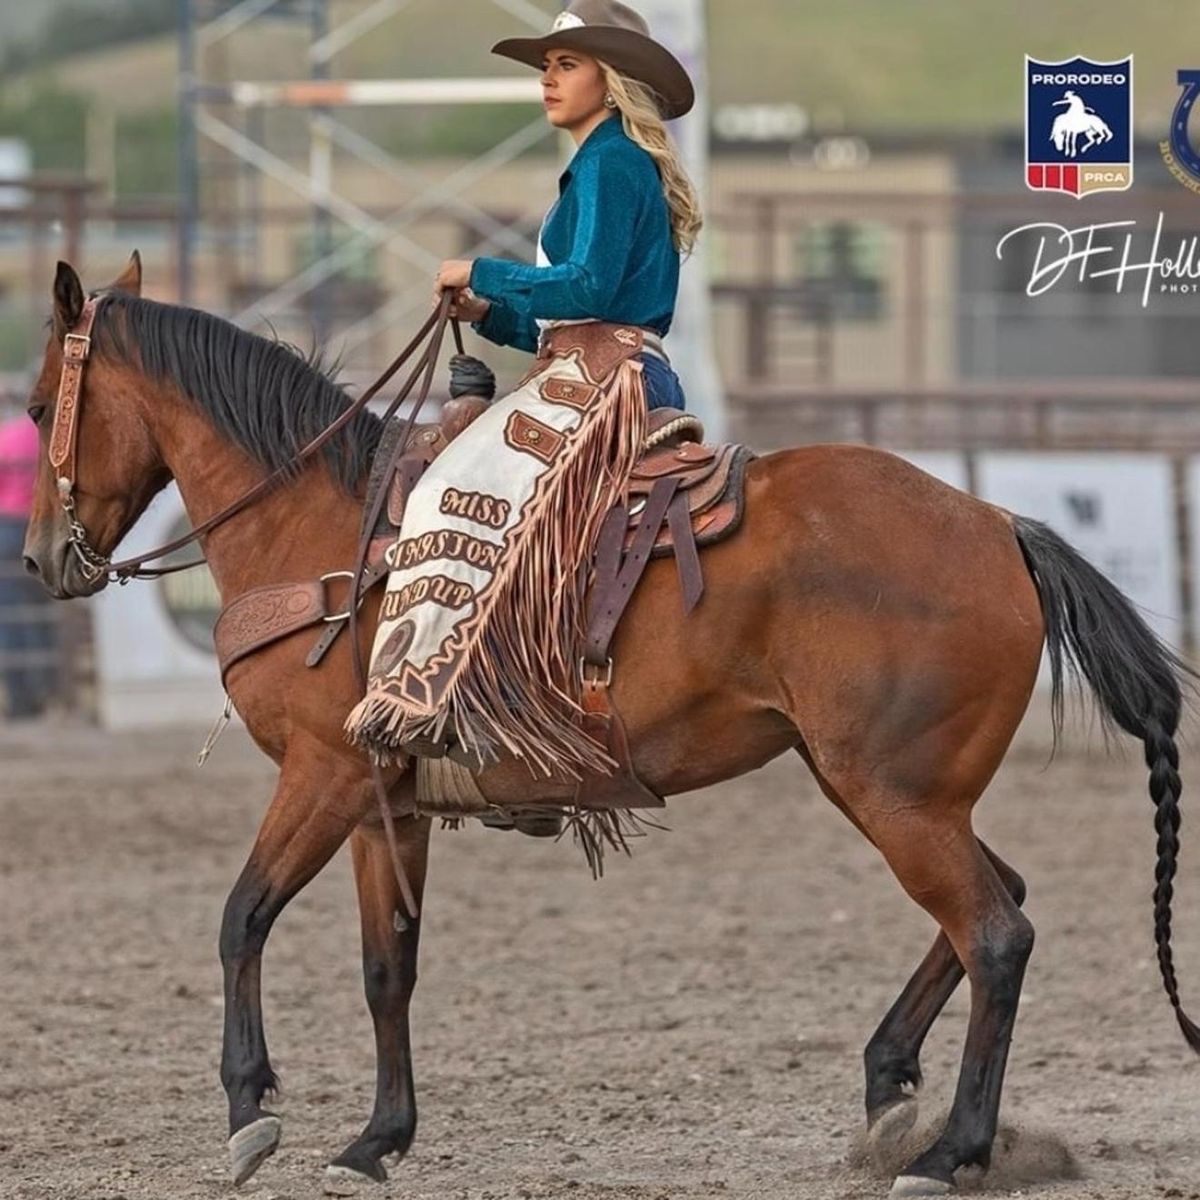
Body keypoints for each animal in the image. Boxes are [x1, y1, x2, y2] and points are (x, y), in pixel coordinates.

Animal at [18, 258, 1200, 1195]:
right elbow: (386, 965)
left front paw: (249, 1112)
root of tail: (998, 524)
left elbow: (239, 918)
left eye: (34, 408)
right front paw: (376, 1140)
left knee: (995, 933)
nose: (37, 560)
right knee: (1002, 899)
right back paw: (891, 1089)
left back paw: (949, 1152)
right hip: (883, 785)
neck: (322, 531)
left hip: (895, 795)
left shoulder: (323, 776)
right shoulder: (385, 801)